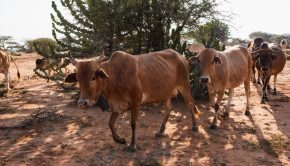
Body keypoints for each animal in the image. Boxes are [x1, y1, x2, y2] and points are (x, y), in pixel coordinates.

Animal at [64, 48, 199, 152]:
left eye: (93, 77)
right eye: (78, 78)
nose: (82, 103)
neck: (114, 76)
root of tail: (182, 57)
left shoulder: (135, 102)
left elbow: (133, 124)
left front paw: (132, 145)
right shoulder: (117, 105)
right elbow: (110, 123)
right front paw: (119, 140)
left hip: (185, 86)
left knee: (190, 104)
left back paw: (195, 126)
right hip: (165, 92)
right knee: (169, 108)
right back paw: (160, 131)